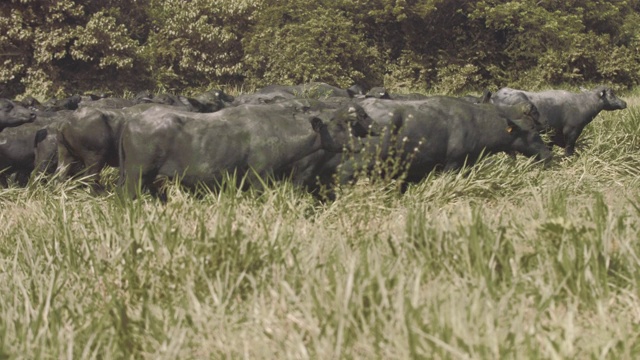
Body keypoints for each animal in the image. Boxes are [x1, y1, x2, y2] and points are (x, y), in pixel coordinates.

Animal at [490, 87, 624, 156]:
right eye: (612, 94)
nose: (624, 103)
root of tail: (495, 96)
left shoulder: (553, 134)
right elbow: (569, 148)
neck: (582, 104)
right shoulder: (572, 131)